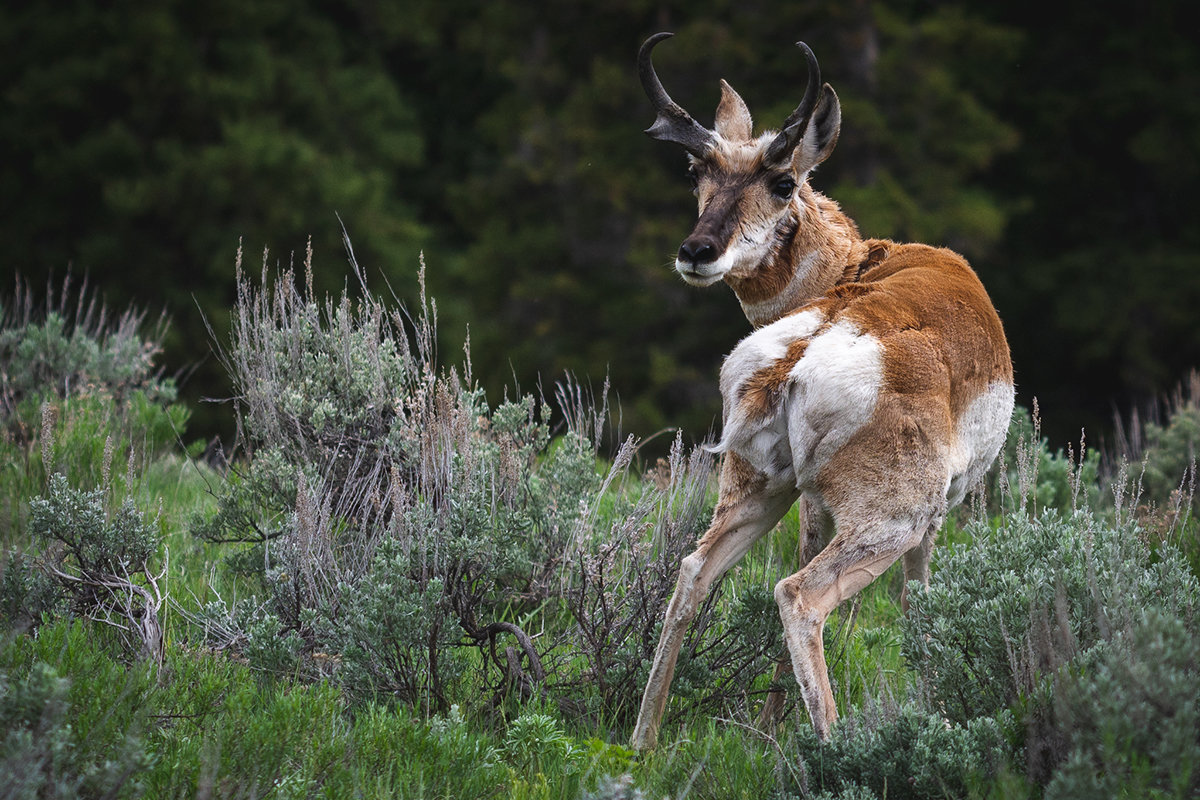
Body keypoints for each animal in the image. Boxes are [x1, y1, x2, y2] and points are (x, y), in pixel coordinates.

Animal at [628, 32, 1012, 753]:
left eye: (782, 182)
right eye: (697, 174)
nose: (696, 250)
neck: (854, 266)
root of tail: (802, 350)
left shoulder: (808, 503)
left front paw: (767, 725)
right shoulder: (935, 518)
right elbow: (919, 606)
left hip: (760, 488)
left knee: (694, 571)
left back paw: (642, 741)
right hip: (890, 519)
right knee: (798, 595)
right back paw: (835, 750)